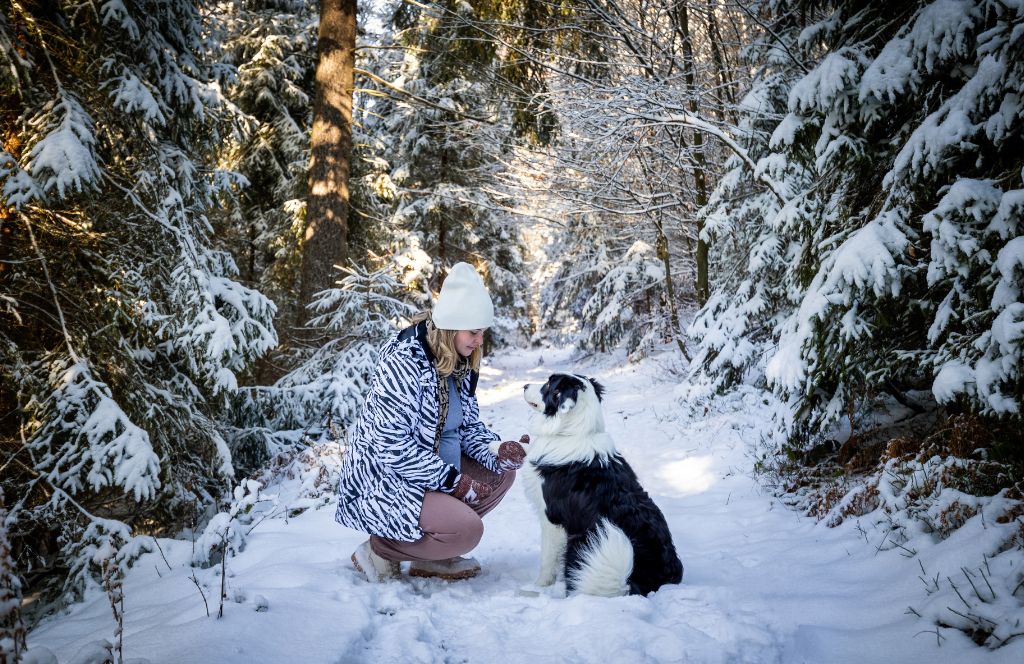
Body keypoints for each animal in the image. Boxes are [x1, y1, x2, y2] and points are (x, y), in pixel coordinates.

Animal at [524, 372, 684, 598]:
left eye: (547, 384)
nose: (524, 385)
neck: (574, 432)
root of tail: (634, 582)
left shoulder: (552, 519)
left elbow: (547, 560)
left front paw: (539, 585)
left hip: (584, 541)